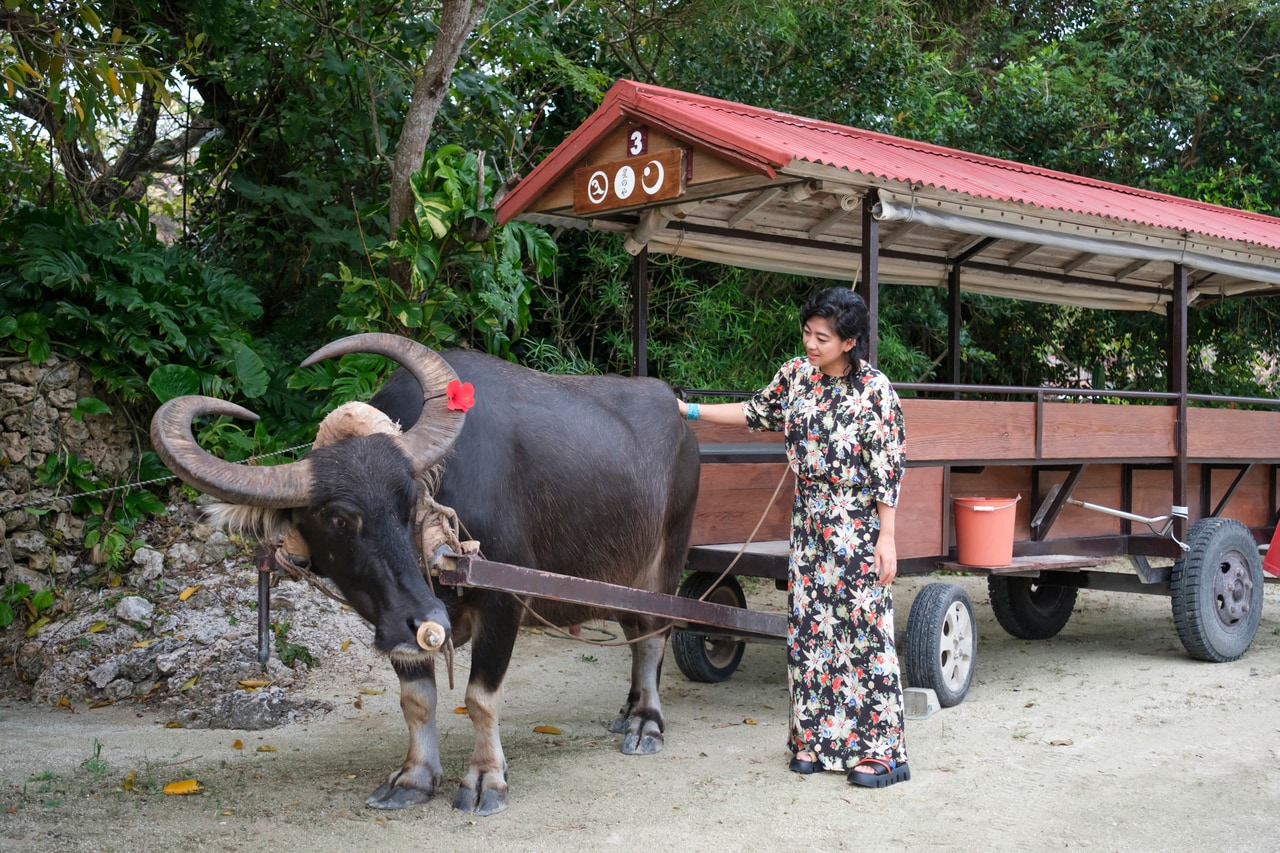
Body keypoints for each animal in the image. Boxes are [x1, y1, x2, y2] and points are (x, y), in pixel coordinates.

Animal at [149, 330, 701, 809]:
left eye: (409, 502)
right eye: (337, 518)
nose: (426, 616)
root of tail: (680, 417)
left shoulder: (503, 602)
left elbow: (480, 697)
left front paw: (485, 779)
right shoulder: (394, 620)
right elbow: (416, 699)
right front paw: (414, 778)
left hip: (666, 561)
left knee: (655, 635)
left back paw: (646, 723)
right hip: (620, 578)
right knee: (634, 633)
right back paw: (628, 712)